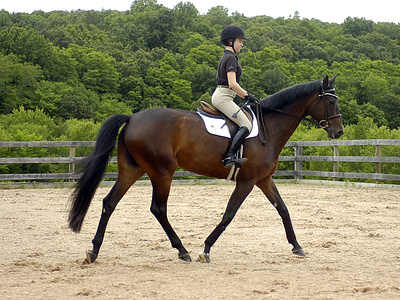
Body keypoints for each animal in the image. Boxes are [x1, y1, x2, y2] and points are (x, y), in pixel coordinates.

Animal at [69, 74, 344, 262]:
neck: (270, 127)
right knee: (158, 209)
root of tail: (132, 117)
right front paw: (206, 248)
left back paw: (94, 250)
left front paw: (297, 246)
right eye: (331, 102)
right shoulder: (247, 181)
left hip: (133, 169)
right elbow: (229, 214)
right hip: (162, 172)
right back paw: (183, 250)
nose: (339, 132)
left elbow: (283, 210)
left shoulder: (263, 179)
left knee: (109, 202)